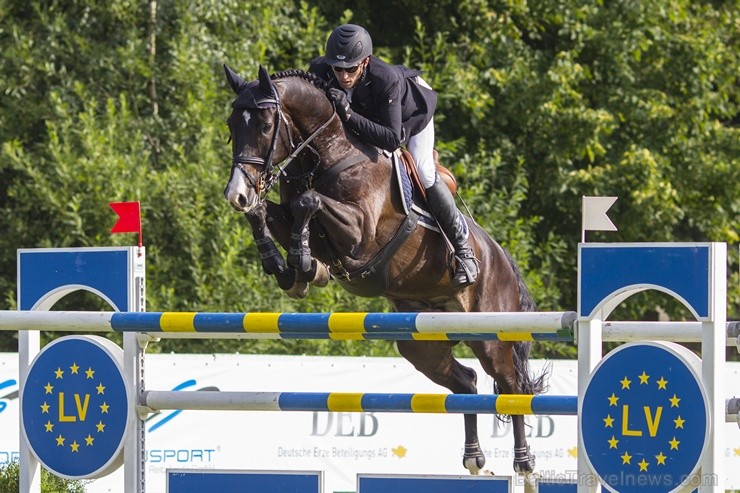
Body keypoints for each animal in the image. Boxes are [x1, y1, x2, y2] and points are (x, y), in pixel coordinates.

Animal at [223, 64, 548, 476]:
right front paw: (289, 269)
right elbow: (268, 212)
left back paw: (523, 462)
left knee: (511, 387)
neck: (326, 153)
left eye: (266, 126)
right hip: (421, 343)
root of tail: (501, 257)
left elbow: (308, 202)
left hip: (490, 333)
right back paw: (473, 458)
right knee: (467, 383)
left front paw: (305, 264)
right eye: (232, 124)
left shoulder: (361, 233)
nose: (236, 194)